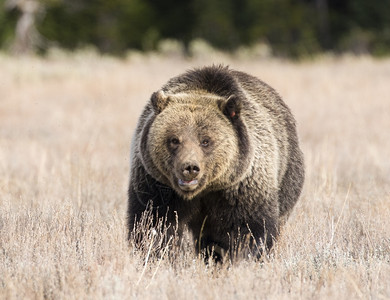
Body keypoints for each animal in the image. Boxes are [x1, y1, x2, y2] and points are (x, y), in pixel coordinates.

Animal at [128, 65, 304, 260]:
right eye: (174, 140)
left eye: (205, 141)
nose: (190, 168)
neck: (204, 191)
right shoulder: (156, 185)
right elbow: (153, 223)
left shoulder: (241, 188)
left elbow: (248, 229)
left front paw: (239, 256)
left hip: (287, 177)